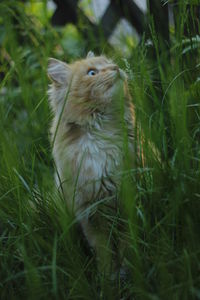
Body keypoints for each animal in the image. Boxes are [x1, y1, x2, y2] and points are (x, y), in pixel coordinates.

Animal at [47, 51, 134, 278]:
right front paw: (108, 278)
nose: (115, 68)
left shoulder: (127, 200)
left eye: (110, 64)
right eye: (92, 73)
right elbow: (103, 253)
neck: (100, 136)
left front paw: (130, 270)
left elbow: (126, 245)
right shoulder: (89, 214)